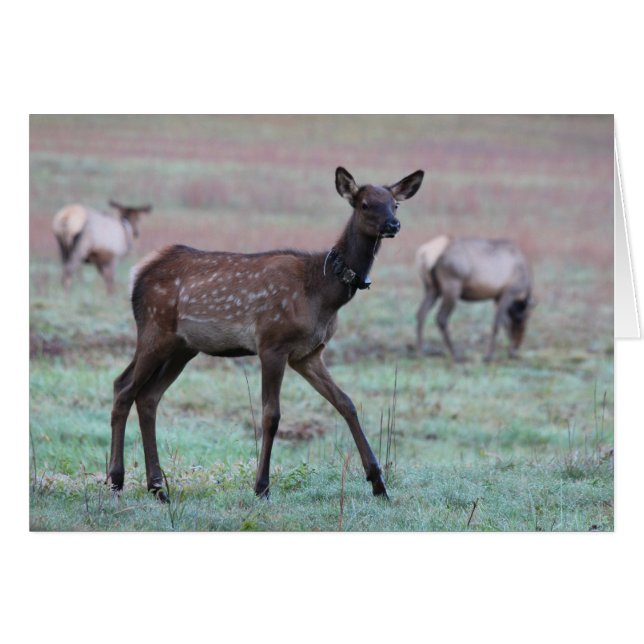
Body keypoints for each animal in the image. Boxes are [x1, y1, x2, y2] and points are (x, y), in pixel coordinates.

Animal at [107, 167, 424, 502]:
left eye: (395, 204)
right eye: (364, 204)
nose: (393, 224)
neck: (323, 294)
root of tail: (137, 274)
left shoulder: (308, 354)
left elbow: (346, 403)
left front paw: (378, 481)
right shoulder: (272, 342)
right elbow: (271, 415)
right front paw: (261, 486)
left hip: (182, 347)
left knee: (148, 396)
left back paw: (156, 486)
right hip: (155, 328)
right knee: (123, 387)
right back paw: (116, 479)